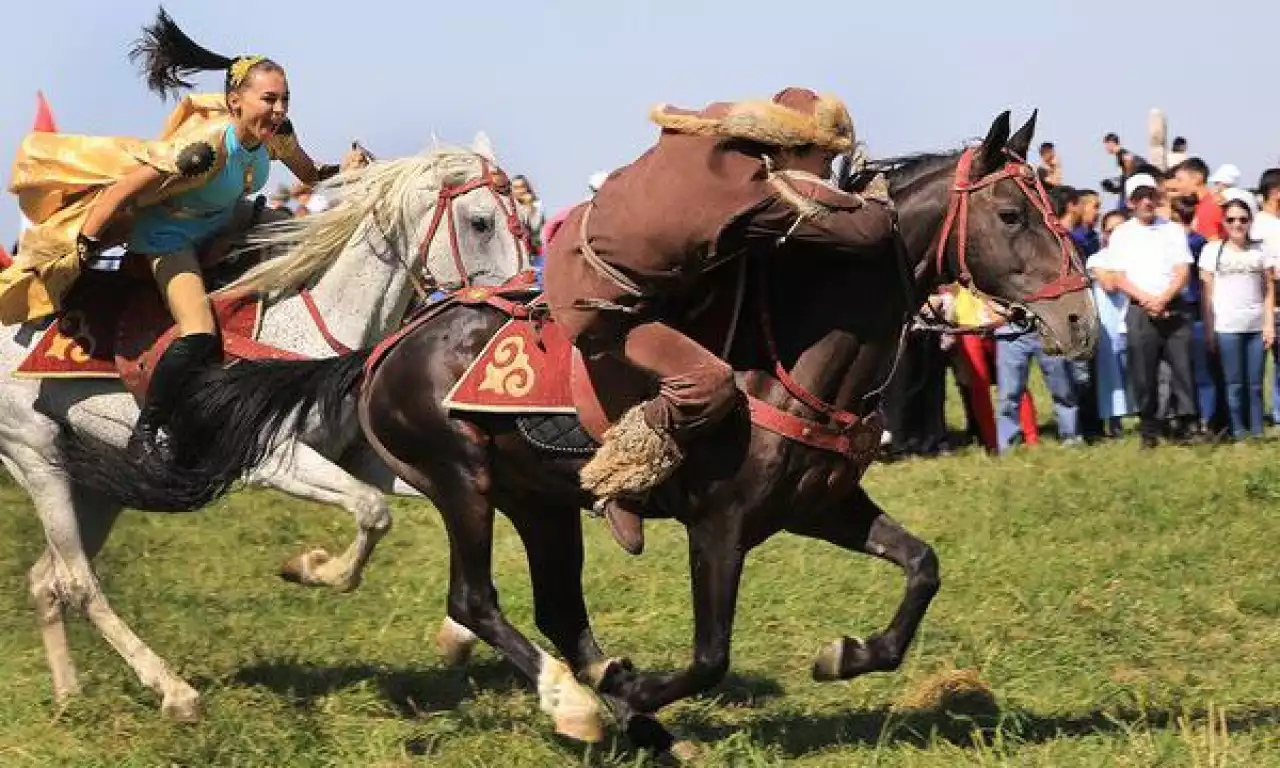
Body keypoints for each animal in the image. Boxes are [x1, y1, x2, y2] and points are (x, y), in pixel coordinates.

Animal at [0, 138, 529, 721]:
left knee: (48, 579)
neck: (317, 325)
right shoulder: (275, 460)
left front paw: (458, 635)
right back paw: (174, 691)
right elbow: (372, 511)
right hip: (36, 454)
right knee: (78, 581)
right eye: (481, 222)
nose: (525, 303)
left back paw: (69, 698)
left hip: (96, 484)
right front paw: (312, 568)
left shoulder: (360, 456)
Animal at [62, 109, 1100, 747]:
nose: (1080, 322)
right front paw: (636, 692)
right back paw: (583, 705)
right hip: (462, 483)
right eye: (1014, 212)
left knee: (557, 608)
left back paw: (611, 704)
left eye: (1054, 209)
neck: (797, 344)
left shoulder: (824, 506)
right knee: (479, 600)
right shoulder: (720, 525)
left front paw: (847, 655)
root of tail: (393, 341)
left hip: (544, 503)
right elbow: (711, 656)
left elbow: (922, 568)